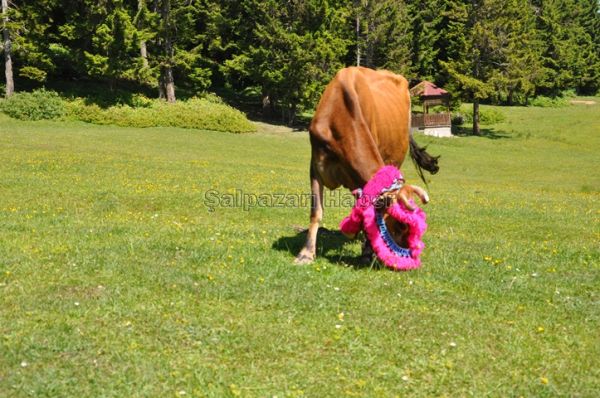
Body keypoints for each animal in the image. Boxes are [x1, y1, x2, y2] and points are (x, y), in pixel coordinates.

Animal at [296, 66, 440, 264]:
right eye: (401, 226)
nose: (409, 257)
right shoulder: (316, 166)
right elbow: (316, 211)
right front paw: (306, 254)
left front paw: (366, 250)